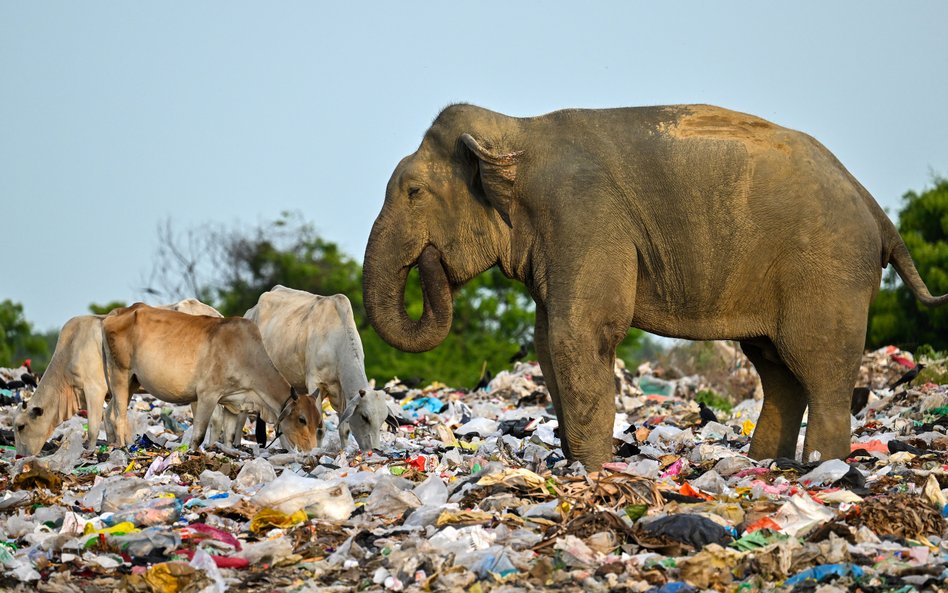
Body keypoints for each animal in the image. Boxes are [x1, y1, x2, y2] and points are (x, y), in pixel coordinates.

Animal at [102, 302, 320, 450]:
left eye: (318, 421)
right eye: (302, 419)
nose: (310, 451)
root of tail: (120, 312)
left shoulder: (233, 403)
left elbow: (229, 436)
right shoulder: (208, 395)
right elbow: (198, 436)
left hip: (132, 381)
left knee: (111, 412)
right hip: (119, 374)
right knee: (119, 415)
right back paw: (124, 448)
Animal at [248, 286, 392, 448]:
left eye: (383, 419)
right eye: (364, 417)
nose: (375, 450)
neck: (336, 343)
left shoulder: (342, 394)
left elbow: (344, 429)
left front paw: (344, 450)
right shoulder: (315, 384)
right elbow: (319, 430)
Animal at [360, 104, 944, 470]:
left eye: (413, 192)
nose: (429, 260)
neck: (514, 130)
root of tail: (873, 205)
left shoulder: (584, 215)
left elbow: (581, 331)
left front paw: (593, 470)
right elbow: (549, 338)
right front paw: (580, 464)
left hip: (826, 270)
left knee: (816, 363)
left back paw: (823, 469)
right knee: (776, 365)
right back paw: (765, 463)